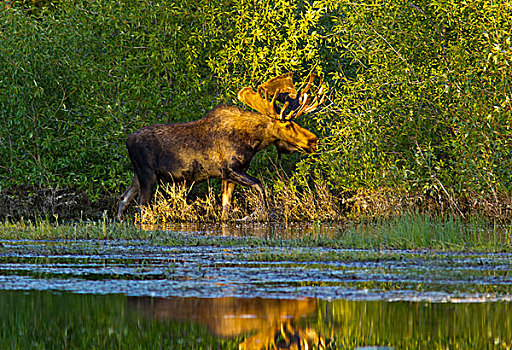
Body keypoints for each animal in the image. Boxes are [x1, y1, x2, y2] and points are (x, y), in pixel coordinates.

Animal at [116, 72, 324, 220]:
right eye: (287, 125)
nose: (313, 141)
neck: (254, 141)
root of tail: (127, 141)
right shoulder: (231, 169)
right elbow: (260, 186)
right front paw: (265, 214)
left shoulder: (229, 176)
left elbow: (225, 209)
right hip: (148, 175)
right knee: (141, 207)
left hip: (138, 175)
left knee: (124, 199)